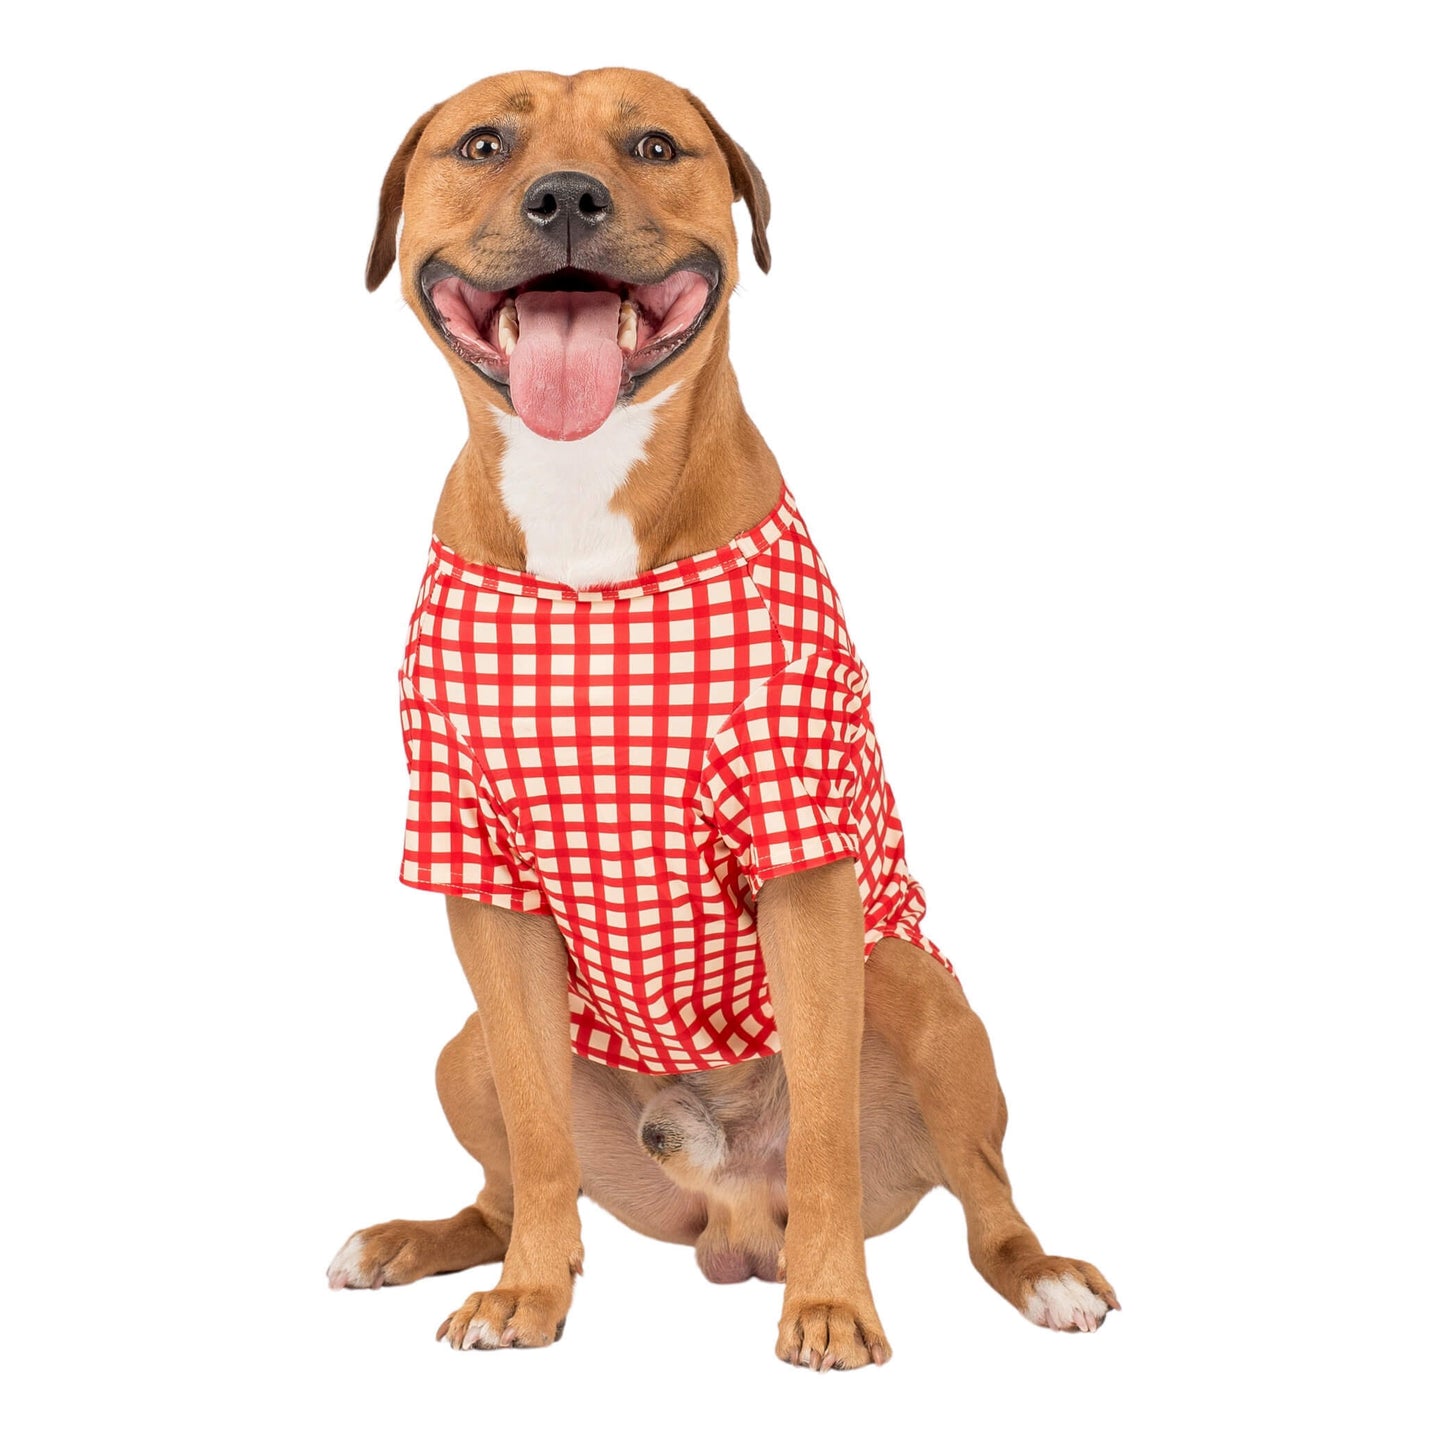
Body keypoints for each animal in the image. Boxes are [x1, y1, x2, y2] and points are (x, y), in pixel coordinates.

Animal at [328, 67, 1115, 1369]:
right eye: (483, 144)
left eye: (653, 145)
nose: (564, 197)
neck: (580, 497)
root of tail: (731, 1210)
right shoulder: (477, 864)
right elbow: (538, 1133)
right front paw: (525, 1291)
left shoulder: (802, 849)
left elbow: (830, 1126)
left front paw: (833, 1305)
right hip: (463, 1048)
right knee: (508, 1183)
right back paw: (426, 1241)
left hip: (920, 991)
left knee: (985, 1200)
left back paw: (1042, 1276)